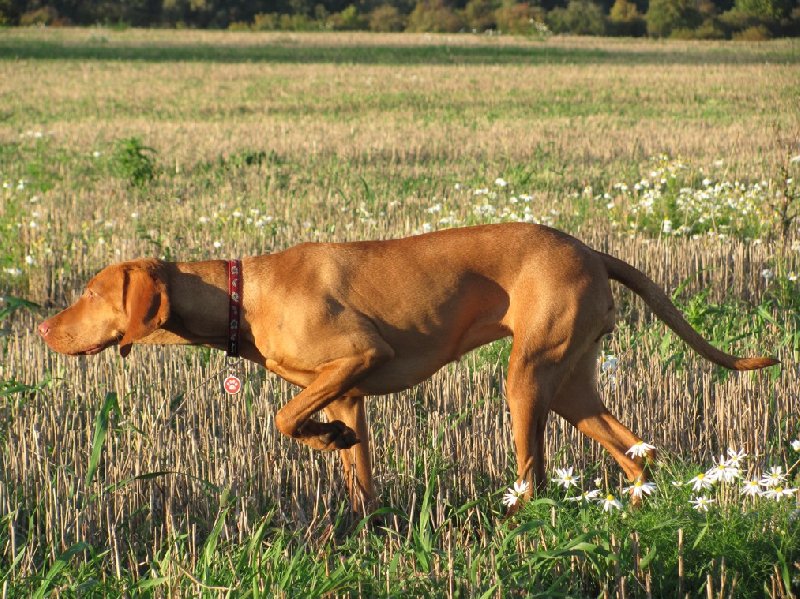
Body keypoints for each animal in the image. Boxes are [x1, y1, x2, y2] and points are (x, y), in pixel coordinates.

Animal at [36, 224, 776, 510]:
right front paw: (362, 519)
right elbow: (353, 467)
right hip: (571, 383)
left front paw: (322, 441)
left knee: (536, 474)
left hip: (527, 380)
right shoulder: (346, 392)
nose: (42, 328)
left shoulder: (364, 355)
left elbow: (282, 417)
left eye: (93, 293)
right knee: (636, 453)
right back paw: (633, 509)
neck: (246, 294)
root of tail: (590, 249)